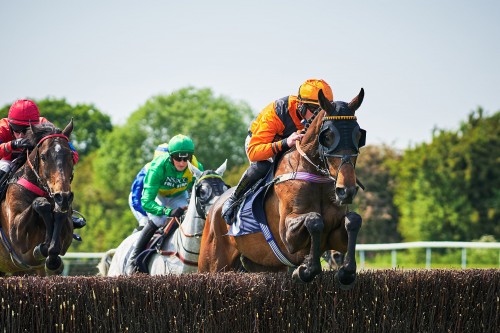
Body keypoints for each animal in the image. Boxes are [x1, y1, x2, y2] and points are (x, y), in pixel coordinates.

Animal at [0, 120, 75, 274]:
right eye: (43, 157)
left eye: (71, 155)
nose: (63, 197)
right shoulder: (16, 237)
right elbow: (40, 203)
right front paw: (43, 247)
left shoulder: (67, 235)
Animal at [199, 88, 368, 288]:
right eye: (327, 137)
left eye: (358, 136)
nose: (346, 190)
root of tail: (215, 207)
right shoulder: (287, 236)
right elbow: (314, 220)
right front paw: (305, 270)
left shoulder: (335, 234)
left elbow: (353, 220)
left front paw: (346, 272)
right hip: (212, 264)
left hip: (264, 264)